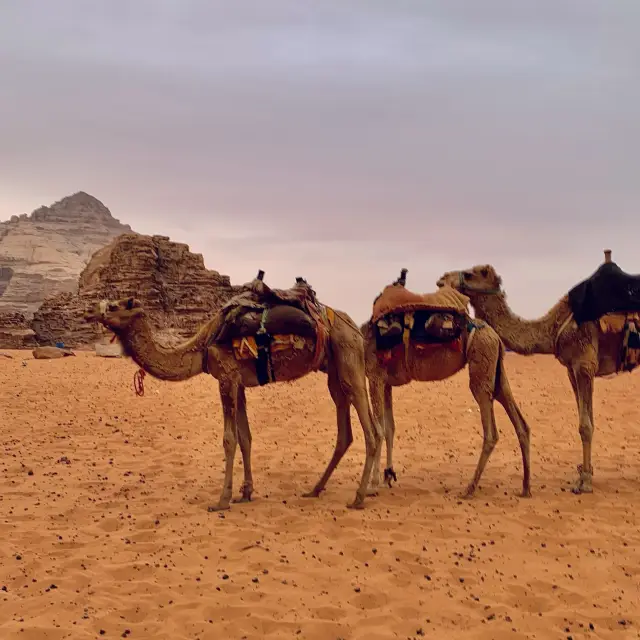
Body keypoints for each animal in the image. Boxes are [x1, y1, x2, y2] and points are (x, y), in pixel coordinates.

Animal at [84, 278, 380, 512]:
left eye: (114, 306)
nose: (92, 311)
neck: (202, 346)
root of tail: (353, 325)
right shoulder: (239, 384)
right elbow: (245, 437)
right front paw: (245, 493)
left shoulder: (226, 378)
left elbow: (229, 439)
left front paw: (222, 500)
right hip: (334, 371)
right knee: (347, 432)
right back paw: (317, 489)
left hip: (349, 358)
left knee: (371, 430)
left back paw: (359, 497)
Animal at [362, 268, 532, 498]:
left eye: (471, 274)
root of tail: (495, 337)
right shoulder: (386, 381)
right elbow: (390, 428)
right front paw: (387, 477)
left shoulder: (375, 376)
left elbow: (378, 429)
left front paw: (372, 485)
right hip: (497, 372)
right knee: (519, 421)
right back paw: (525, 487)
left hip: (481, 364)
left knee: (491, 432)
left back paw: (469, 488)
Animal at [438, 251, 640, 496]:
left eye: (470, 274)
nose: (442, 280)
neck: (553, 328)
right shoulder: (572, 369)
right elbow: (587, 420)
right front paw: (585, 474)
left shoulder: (584, 364)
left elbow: (585, 426)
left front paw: (584, 484)